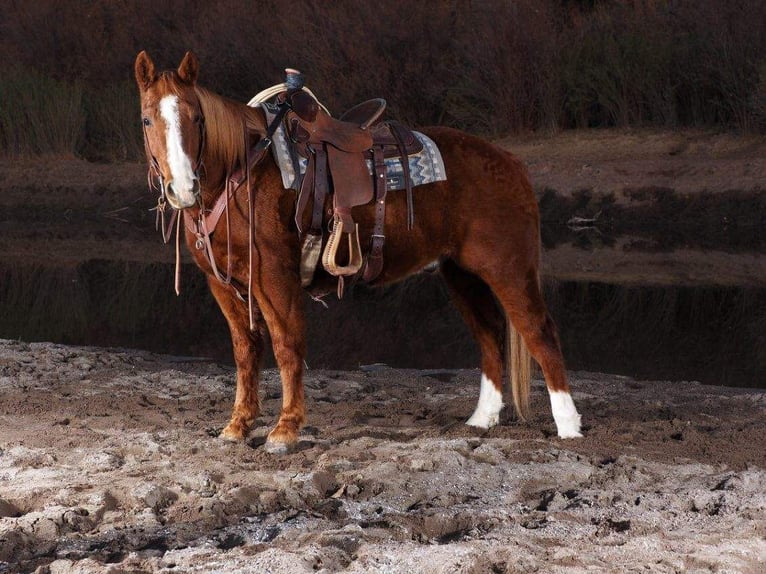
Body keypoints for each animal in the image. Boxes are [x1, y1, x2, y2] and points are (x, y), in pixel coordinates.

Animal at [138, 51, 584, 452]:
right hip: (461, 274)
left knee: (540, 332)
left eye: (197, 118)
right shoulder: (223, 283)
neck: (241, 172)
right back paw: (482, 419)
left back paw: (569, 426)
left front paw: (285, 430)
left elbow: (286, 345)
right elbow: (246, 351)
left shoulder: (275, 278)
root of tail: (509, 162)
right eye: (146, 119)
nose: (183, 187)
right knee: (490, 333)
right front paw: (238, 426)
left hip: (508, 269)